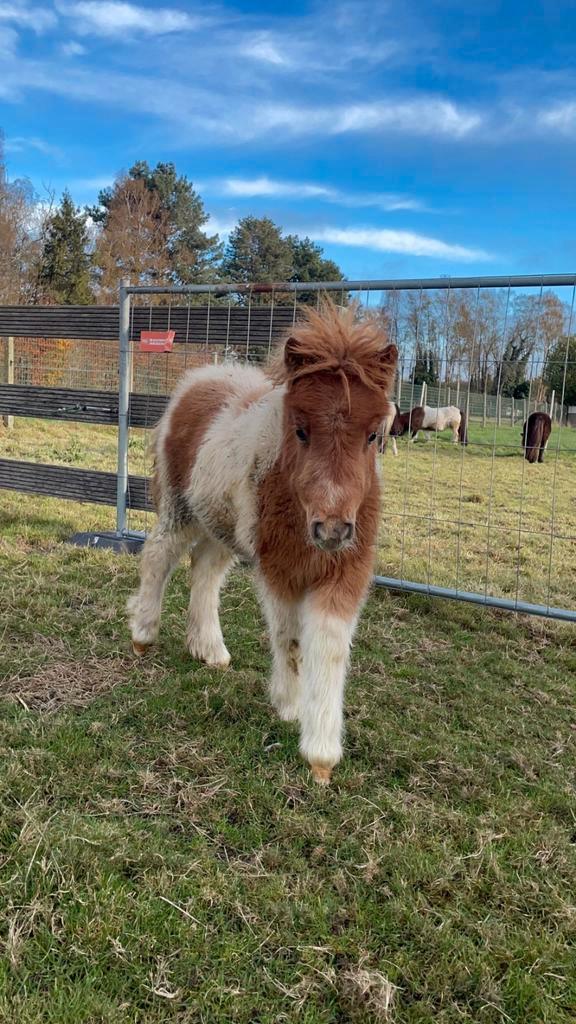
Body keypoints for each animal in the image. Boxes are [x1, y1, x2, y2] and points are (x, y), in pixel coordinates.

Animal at [127, 302, 398, 785]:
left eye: (374, 435)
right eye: (301, 429)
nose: (332, 529)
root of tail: (199, 379)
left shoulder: (345, 573)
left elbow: (329, 648)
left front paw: (322, 754)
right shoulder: (280, 568)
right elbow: (290, 639)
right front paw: (289, 706)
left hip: (221, 523)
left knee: (205, 572)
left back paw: (210, 649)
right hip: (179, 507)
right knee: (158, 555)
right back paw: (143, 634)